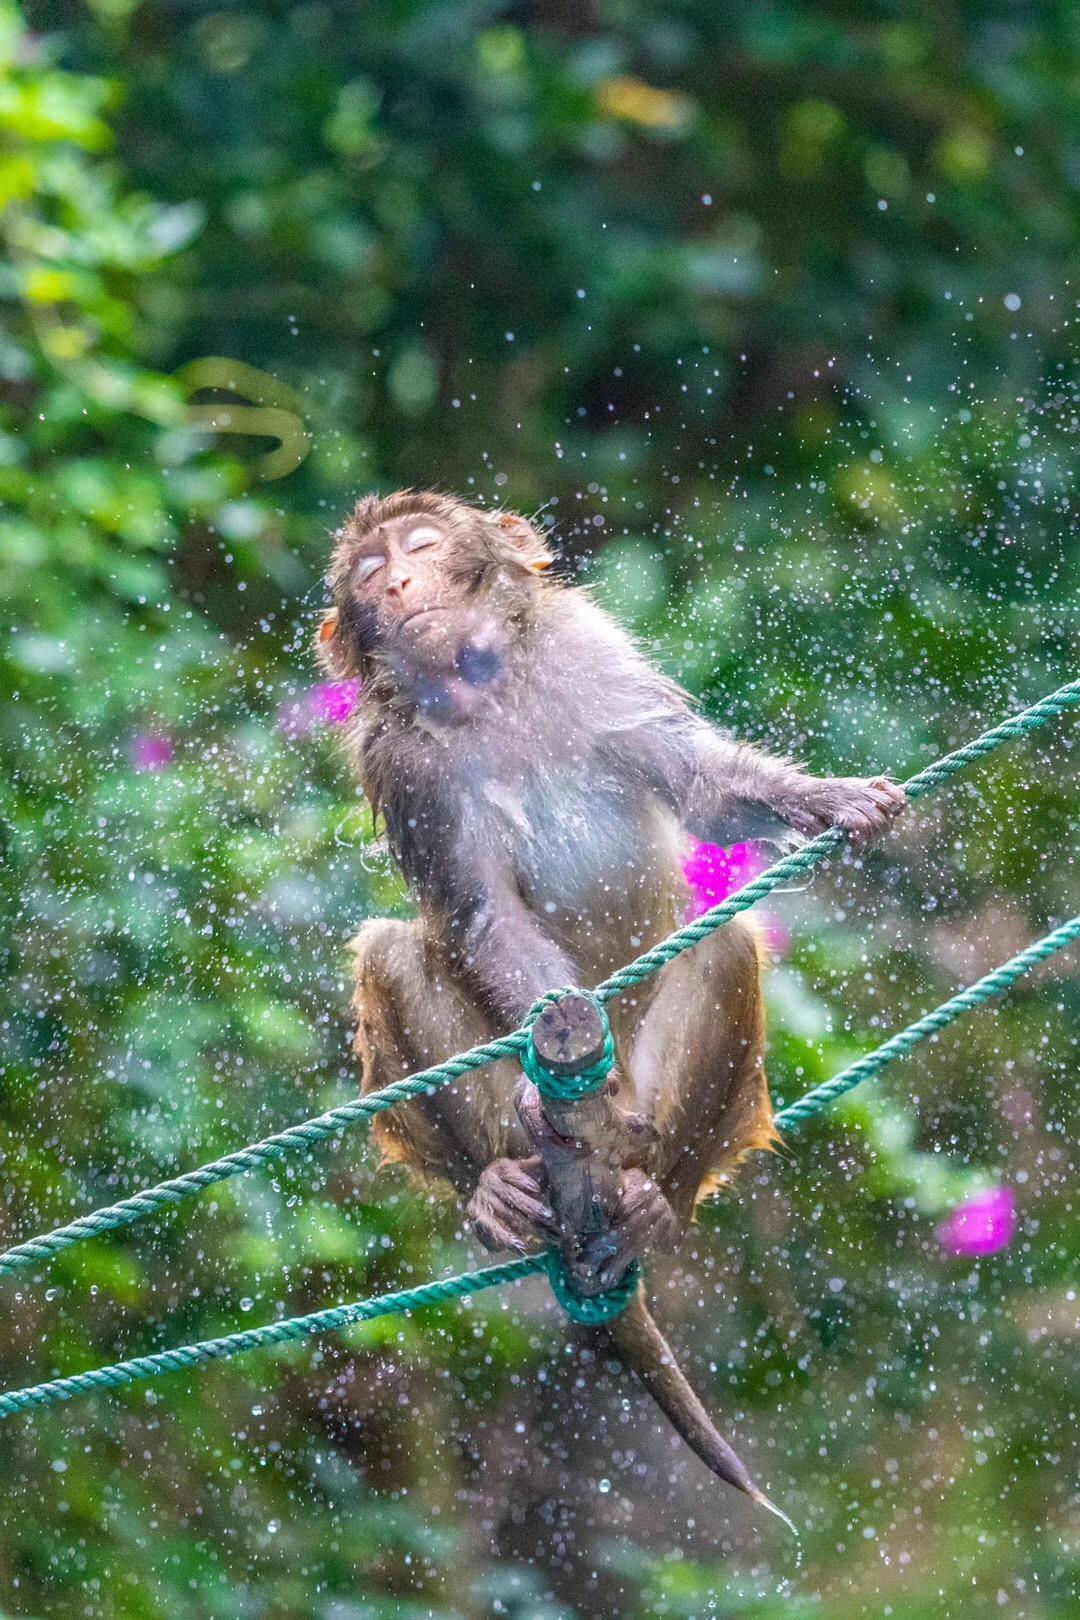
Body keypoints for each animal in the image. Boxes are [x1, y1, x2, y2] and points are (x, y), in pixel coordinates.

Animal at [317, 489, 906, 1516]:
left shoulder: (588, 651)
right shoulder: (401, 759)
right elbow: (481, 915)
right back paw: (499, 1183)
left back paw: (651, 1197)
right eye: (370, 573)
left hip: (662, 1104)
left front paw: (826, 797)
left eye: (421, 547)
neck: (486, 692)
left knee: (724, 947)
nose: (396, 584)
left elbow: (700, 786)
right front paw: (549, 1053)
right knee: (393, 951)